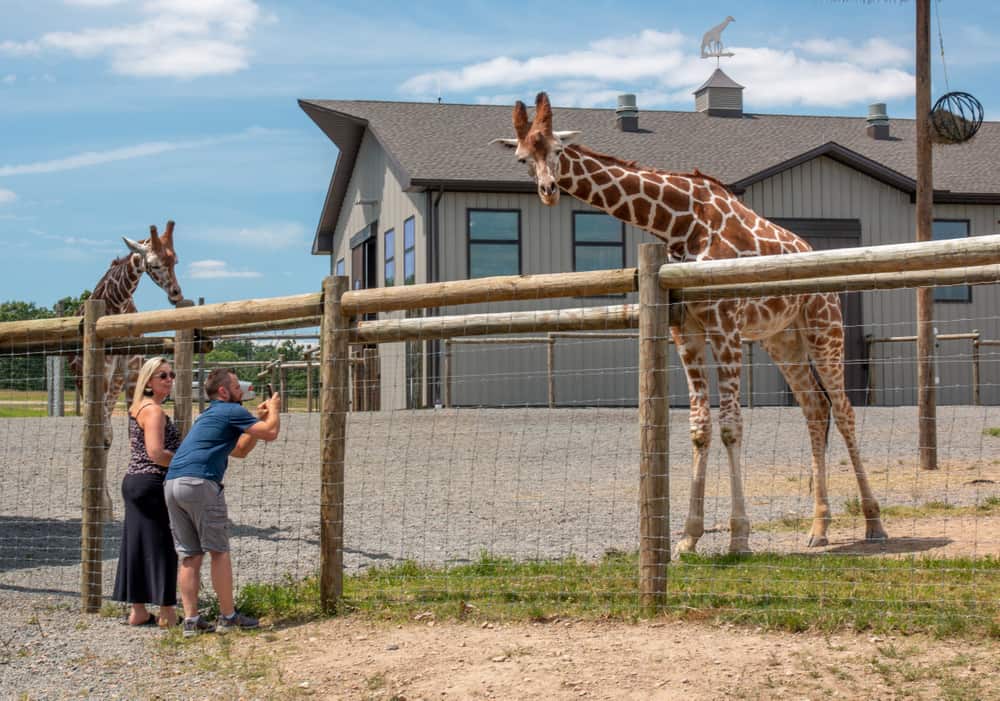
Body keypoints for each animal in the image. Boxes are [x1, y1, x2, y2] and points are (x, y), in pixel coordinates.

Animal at [69, 221, 184, 516]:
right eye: (154, 264)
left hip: (115, 382)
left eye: (175, 260)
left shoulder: (132, 368)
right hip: (84, 379)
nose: (176, 294)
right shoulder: (102, 370)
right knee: (95, 431)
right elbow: (102, 433)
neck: (117, 303)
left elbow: (134, 424)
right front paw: (102, 504)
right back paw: (94, 501)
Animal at [494, 94, 892, 552]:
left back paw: (874, 523)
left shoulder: (726, 326)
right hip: (783, 340)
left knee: (843, 409)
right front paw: (687, 537)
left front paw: (739, 538)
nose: (548, 191)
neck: (680, 224)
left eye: (558, 149)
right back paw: (818, 528)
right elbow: (700, 428)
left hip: (824, 328)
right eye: (523, 158)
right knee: (814, 407)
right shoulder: (686, 332)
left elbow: (731, 426)